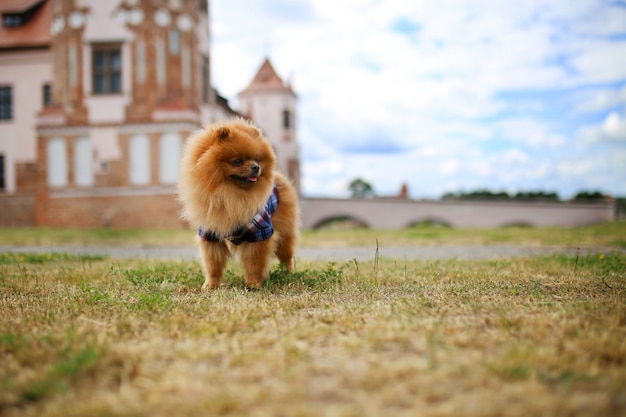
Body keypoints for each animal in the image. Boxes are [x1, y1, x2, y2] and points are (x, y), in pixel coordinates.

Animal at [178, 118, 300, 290]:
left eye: (257, 159)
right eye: (237, 161)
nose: (256, 167)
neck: (230, 195)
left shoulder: (260, 232)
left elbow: (255, 263)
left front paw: (254, 283)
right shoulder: (210, 233)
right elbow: (213, 264)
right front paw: (210, 285)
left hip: (284, 232)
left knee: (287, 256)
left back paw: (287, 273)